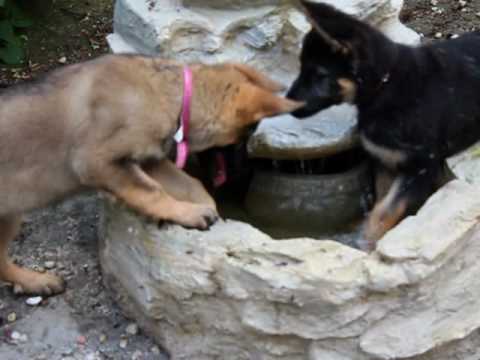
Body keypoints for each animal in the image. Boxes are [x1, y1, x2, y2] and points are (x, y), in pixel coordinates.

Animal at [0, 53, 302, 296]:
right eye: (241, 140)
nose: (245, 175)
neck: (170, 95)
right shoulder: (97, 161)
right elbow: (153, 191)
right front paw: (189, 213)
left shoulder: (147, 160)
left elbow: (189, 182)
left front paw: (206, 206)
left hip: (10, 216)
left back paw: (34, 282)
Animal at [286, 2, 480, 249]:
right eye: (301, 68)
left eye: (319, 75)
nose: (286, 104)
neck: (385, 85)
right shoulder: (385, 160)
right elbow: (379, 205)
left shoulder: (421, 166)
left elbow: (384, 212)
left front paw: (367, 245)